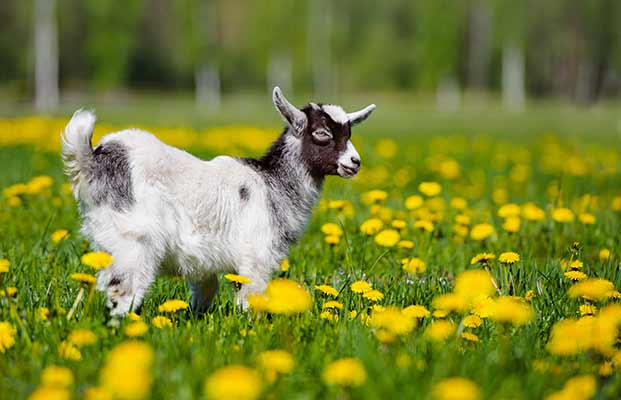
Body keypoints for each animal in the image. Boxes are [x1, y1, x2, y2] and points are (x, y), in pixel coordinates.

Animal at [61, 87, 372, 316]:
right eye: (322, 133)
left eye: (349, 133)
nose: (355, 162)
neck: (272, 183)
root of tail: (92, 161)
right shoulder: (256, 257)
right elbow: (250, 302)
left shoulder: (206, 265)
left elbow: (203, 296)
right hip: (133, 241)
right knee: (121, 290)